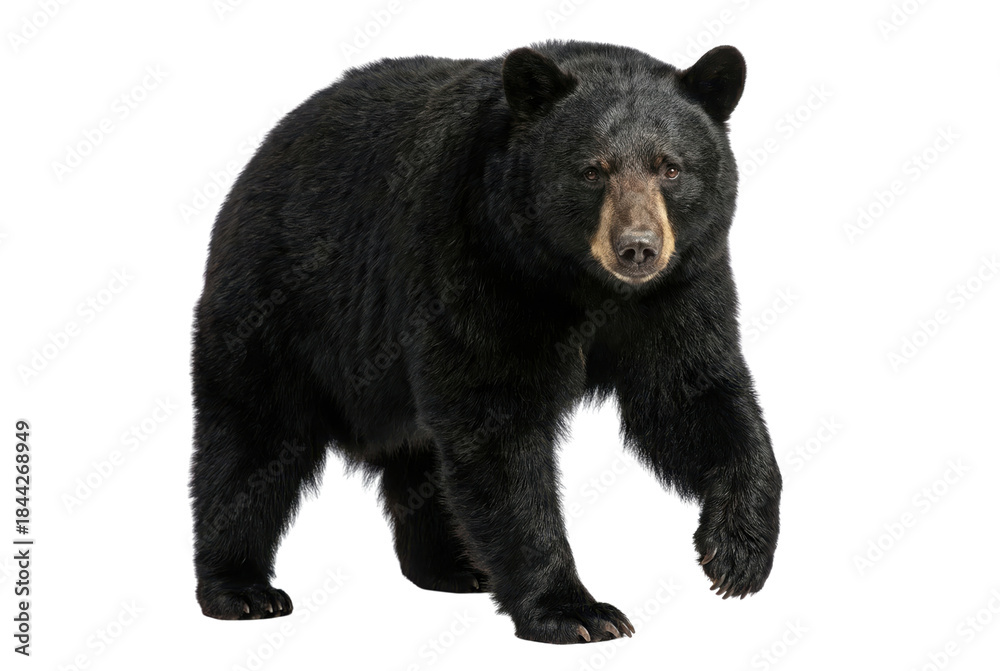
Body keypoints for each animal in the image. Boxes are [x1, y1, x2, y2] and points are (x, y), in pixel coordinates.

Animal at [189, 40, 782, 644]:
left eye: (671, 167)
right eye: (592, 170)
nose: (637, 247)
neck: (581, 282)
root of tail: (260, 156)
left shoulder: (679, 285)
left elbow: (688, 393)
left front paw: (737, 552)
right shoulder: (475, 262)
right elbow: (498, 426)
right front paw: (575, 610)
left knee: (420, 457)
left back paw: (452, 566)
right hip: (279, 306)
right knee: (252, 441)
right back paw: (241, 589)